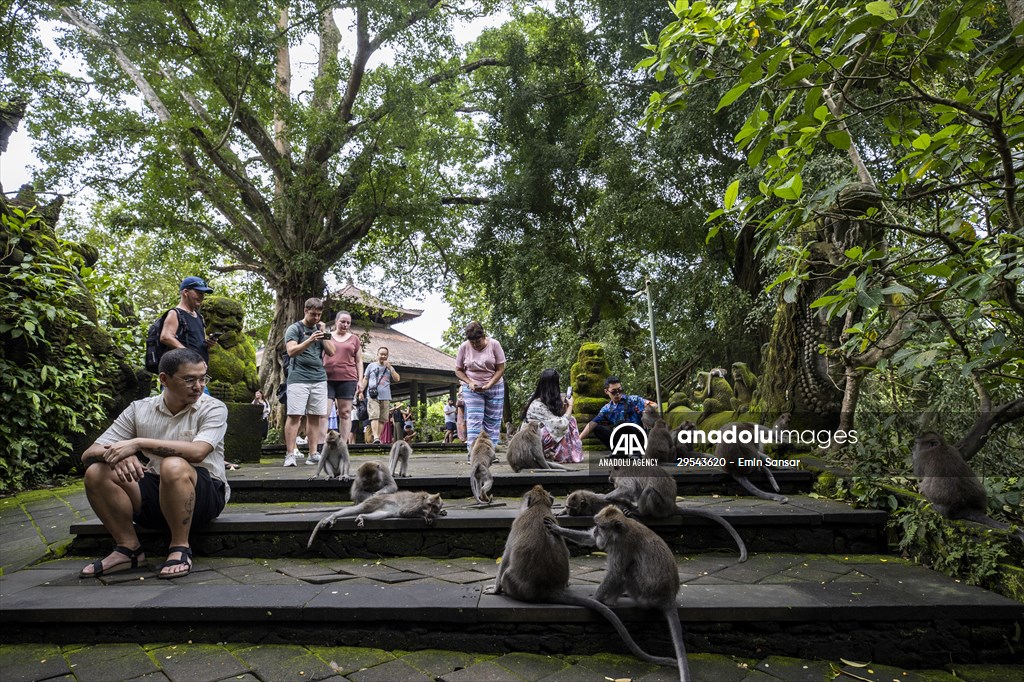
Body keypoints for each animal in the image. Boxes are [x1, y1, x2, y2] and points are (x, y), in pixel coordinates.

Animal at [307, 491, 445, 547]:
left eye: (434, 507)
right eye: (429, 504)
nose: (430, 512)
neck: (423, 502)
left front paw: (441, 512)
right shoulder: (415, 504)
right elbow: (404, 512)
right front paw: (426, 517)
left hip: (383, 509)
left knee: (382, 514)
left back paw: (362, 517)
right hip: (373, 501)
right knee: (359, 508)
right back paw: (333, 516)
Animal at [484, 486, 677, 671]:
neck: (538, 507)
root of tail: (548, 589)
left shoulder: (516, 524)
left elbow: (506, 557)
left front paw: (494, 589)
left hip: (514, 585)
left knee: (507, 572)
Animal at [545, 505, 691, 682]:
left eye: (601, 527)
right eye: (596, 525)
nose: (596, 530)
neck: (621, 531)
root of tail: (669, 596)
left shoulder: (622, 546)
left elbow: (615, 573)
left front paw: (596, 600)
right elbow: (589, 539)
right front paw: (557, 529)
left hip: (645, 594)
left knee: (628, 570)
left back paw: (611, 601)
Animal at [590, 464, 747, 562]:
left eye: (611, 471)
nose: (609, 477)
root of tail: (672, 506)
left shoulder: (625, 478)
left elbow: (628, 488)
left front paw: (606, 496)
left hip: (659, 506)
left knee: (649, 491)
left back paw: (639, 511)